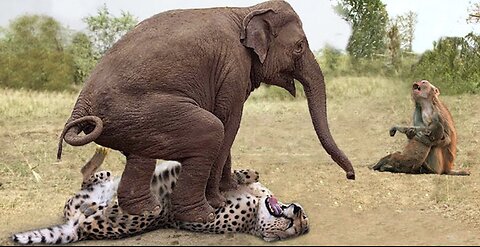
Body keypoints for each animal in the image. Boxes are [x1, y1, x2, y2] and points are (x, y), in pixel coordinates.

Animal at [14, 147, 312, 243]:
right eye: (302, 221)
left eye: (294, 226)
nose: (297, 211)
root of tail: (79, 229)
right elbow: (230, 174)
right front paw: (248, 173)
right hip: (97, 184)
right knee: (88, 175)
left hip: (128, 211)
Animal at [57, 0, 356, 224]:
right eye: (299, 47)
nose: (351, 177)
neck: (247, 10)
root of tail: (81, 105)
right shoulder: (233, 68)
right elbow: (228, 122)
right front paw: (220, 200)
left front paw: (230, 187)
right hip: (139, 110)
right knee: (210, 130)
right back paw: (202, 216)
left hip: (132, 121)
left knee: (141, 156)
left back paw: (147, 211)